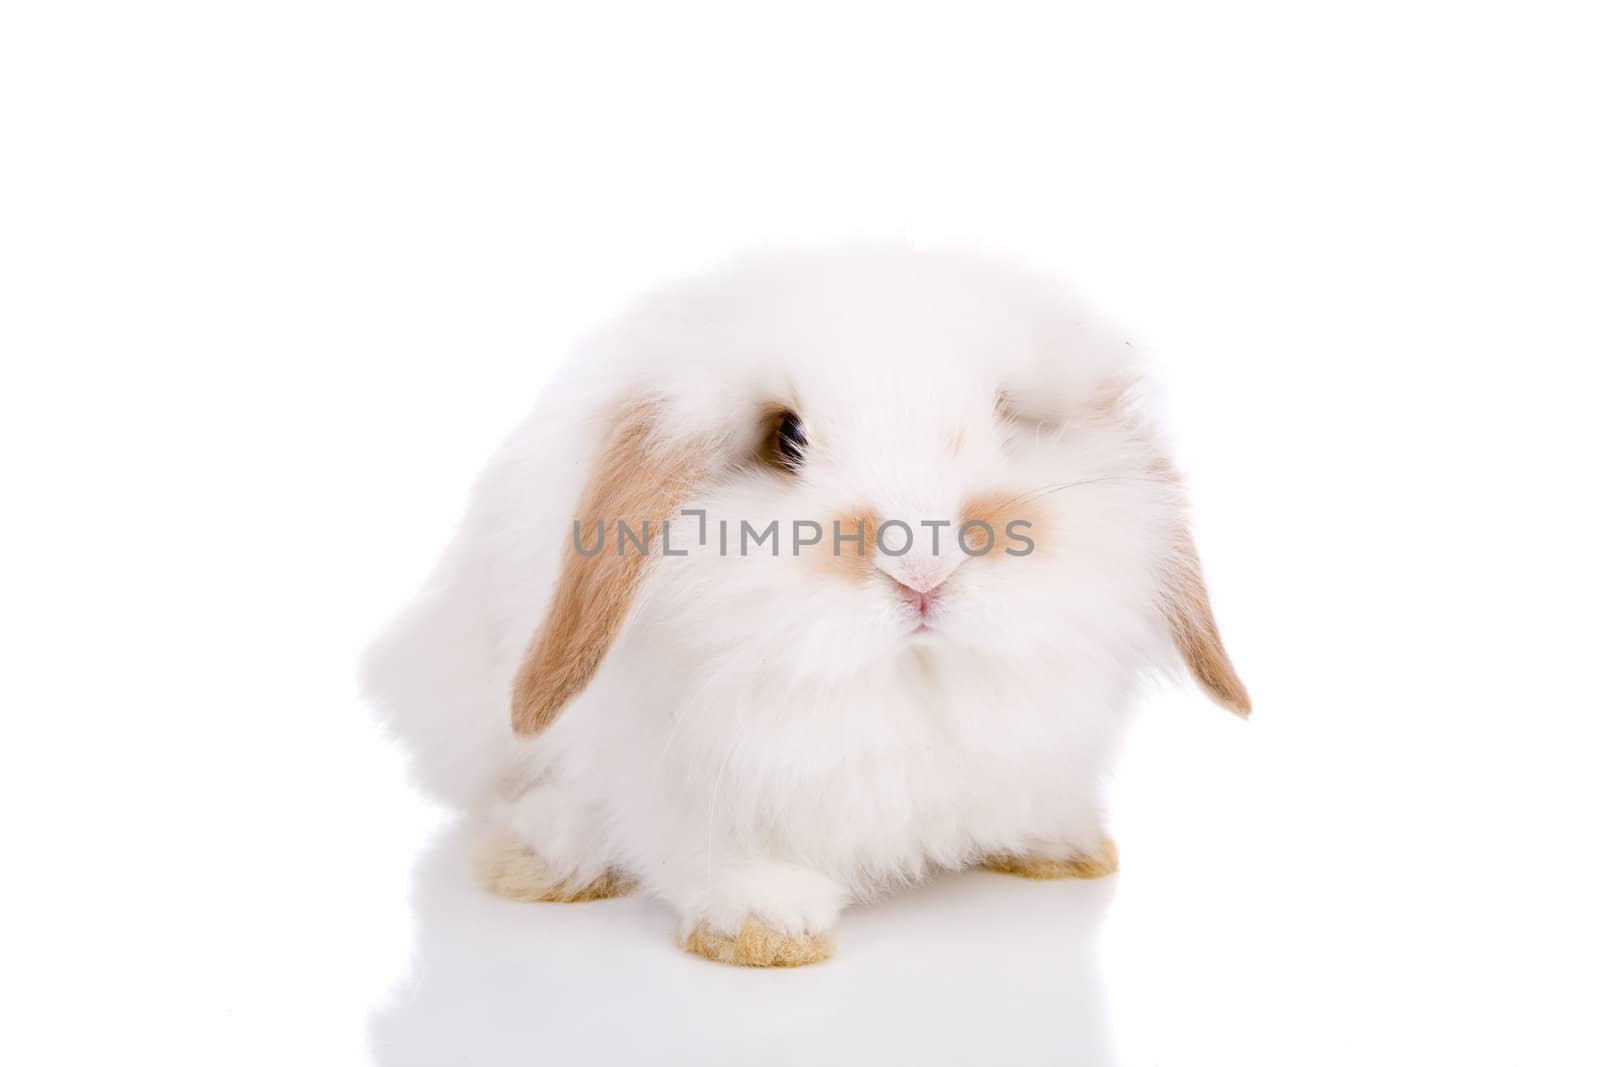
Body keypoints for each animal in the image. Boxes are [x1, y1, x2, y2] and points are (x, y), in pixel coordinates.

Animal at [366, 244, 1248, 966]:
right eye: (785, 437)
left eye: (1007, 418)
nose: (921, 568)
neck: (905, 683)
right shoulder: (684, 773)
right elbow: (717, 853)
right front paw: (762, 925)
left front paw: (1058, 844)